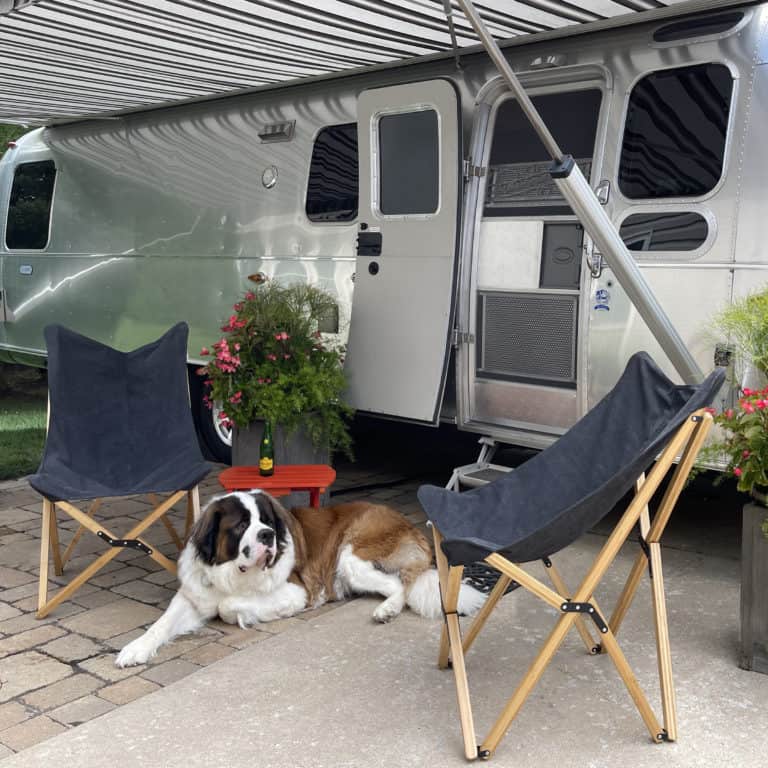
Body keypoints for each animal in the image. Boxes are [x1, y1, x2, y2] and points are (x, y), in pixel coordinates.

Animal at [114, 492, 486, 664]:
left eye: (266, 521)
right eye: (241, 524)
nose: (267, 535)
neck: (231, 572)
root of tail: (409, 523)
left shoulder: (296, 591)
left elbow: (230, 605)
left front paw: (240, 613)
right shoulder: (193, 594)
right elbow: (162, 624)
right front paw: (135, 649)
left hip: (349, 555)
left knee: (400, 586)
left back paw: (386, 611)